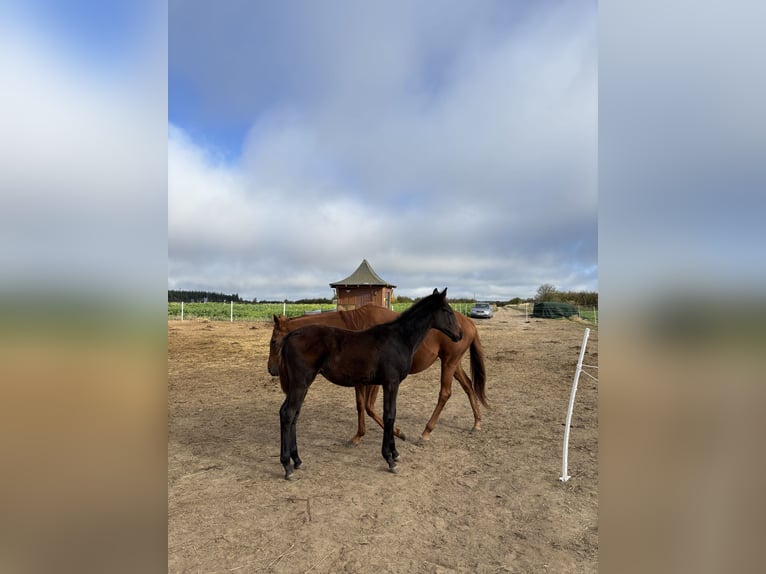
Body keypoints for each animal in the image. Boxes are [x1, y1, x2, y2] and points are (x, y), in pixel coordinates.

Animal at [268, 302, 488, 444]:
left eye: (274, 341)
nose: (271, 369)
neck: (351, 330)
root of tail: (466, 323)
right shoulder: (360, 380)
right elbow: (361, 406)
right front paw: (359, 435)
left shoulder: (375, 380)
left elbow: (369, 407)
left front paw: (397, 433)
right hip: (453, 363)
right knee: (468, 386)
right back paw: (477, 422)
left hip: (449, 363)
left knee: (445, 393)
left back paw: (426, 431)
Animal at [277, 288, 462, 480]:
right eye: (447, 311)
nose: (459, 334)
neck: (399, 339)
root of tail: (290, 336)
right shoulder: (391, 383)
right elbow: (389, 415)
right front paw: (389, 459)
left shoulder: (387, 384)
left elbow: (389, 414)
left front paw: (395, 453)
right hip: (300, 383)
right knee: (287, 413)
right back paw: (287, 466)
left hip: (302, 385)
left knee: (293, 415)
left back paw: (297, 460)